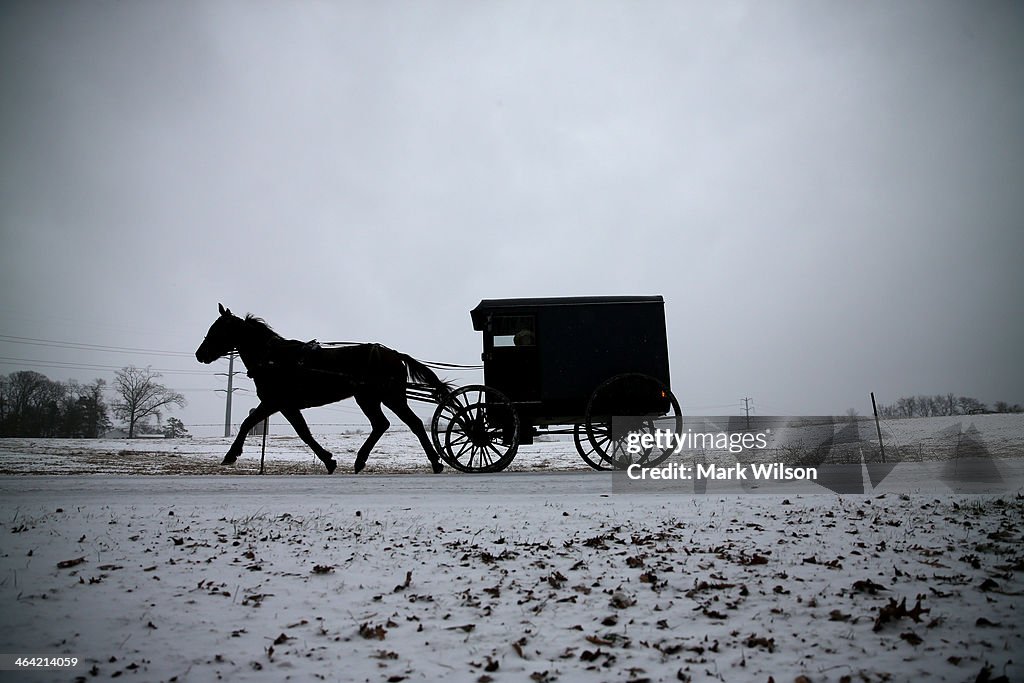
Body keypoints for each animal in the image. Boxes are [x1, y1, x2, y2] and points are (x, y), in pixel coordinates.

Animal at [193, 305, 450, 475]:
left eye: (218, 329)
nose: (199, 354)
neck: (273, 358)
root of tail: (395, 354)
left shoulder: (276, 402)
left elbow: (255, 425)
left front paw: (231, 455)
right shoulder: (283, 405)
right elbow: (301, 432)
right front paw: (329, 460)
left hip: (389, 396)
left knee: (412, 423)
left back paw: (435, 463)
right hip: (370, 397)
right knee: (383, 424)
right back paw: (362, 461)